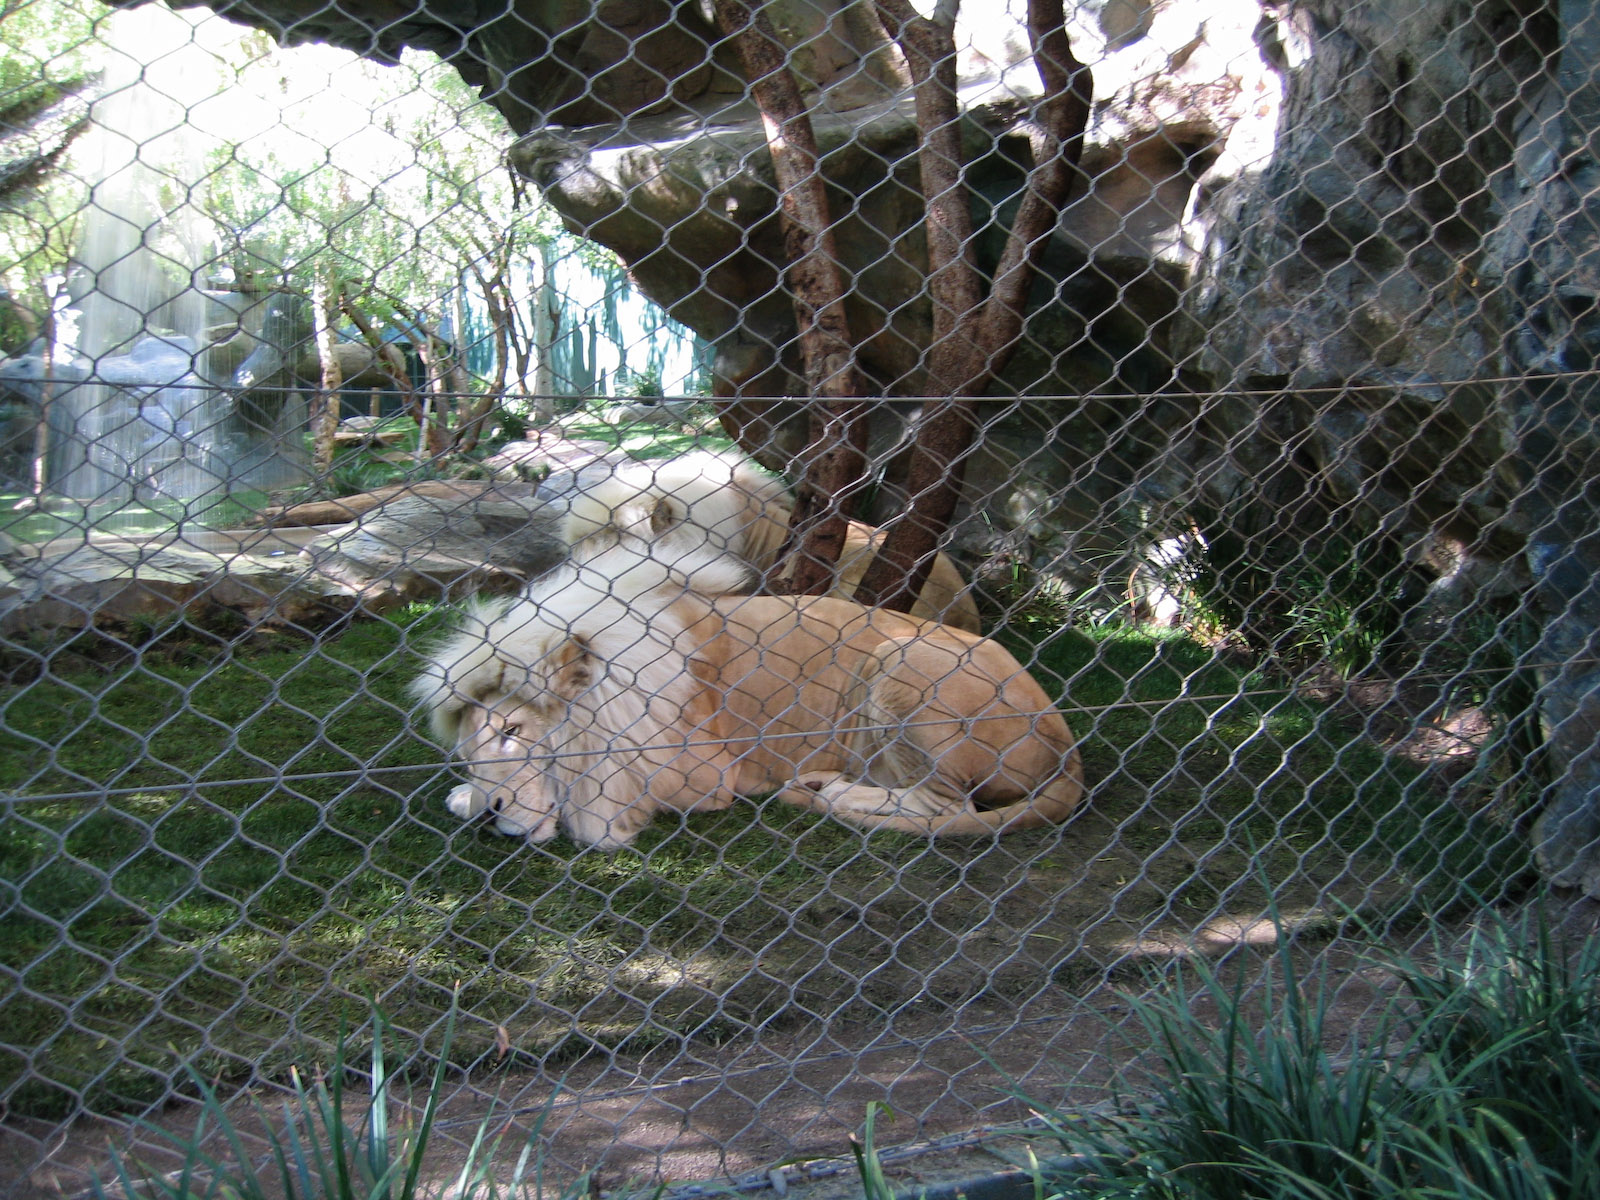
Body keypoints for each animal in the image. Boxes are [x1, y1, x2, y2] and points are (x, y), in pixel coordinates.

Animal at [412, 545, 1083, 850]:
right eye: (468, 749)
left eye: (513, 733)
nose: (494, 814)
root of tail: (1068, 744)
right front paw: (466, 797)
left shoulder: (703, 775)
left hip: (898, 657)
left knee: (946, 806)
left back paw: (836, 791)